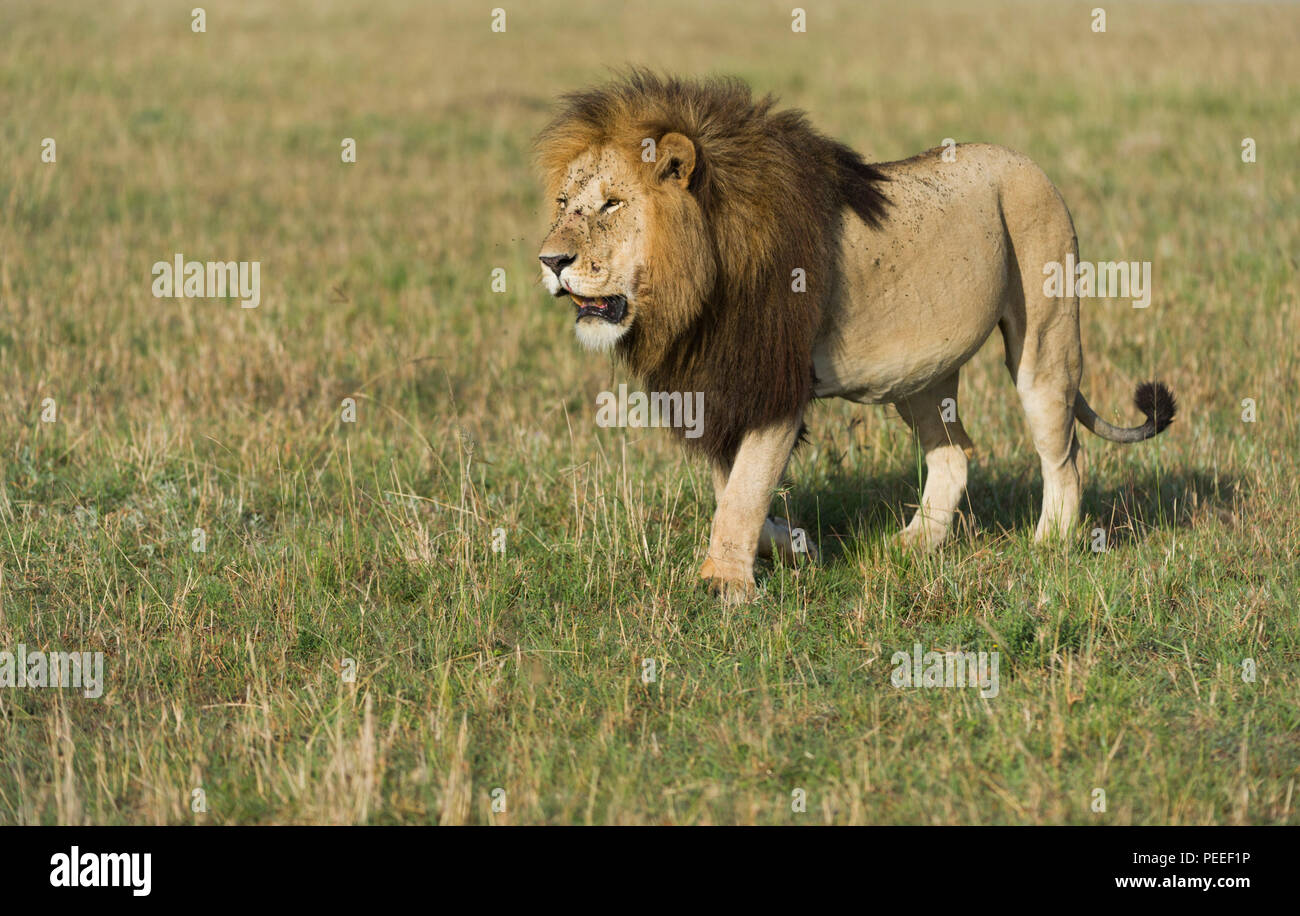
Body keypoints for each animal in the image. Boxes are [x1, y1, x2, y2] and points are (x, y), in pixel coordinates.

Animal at [535, 72, 1176, 602]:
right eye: (564, 203)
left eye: (612, 204)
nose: (550, 260)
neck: (698, 281)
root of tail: (1029, 163)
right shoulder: (723, 387)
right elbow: (734, 489)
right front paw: (791, 546)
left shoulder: (775, 384)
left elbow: (742, 492)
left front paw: (725, 586)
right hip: (920, 376)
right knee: (955, 453)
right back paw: (914, 545)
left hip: (1046, 336)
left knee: (1062, 452)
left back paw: (1050, 546)